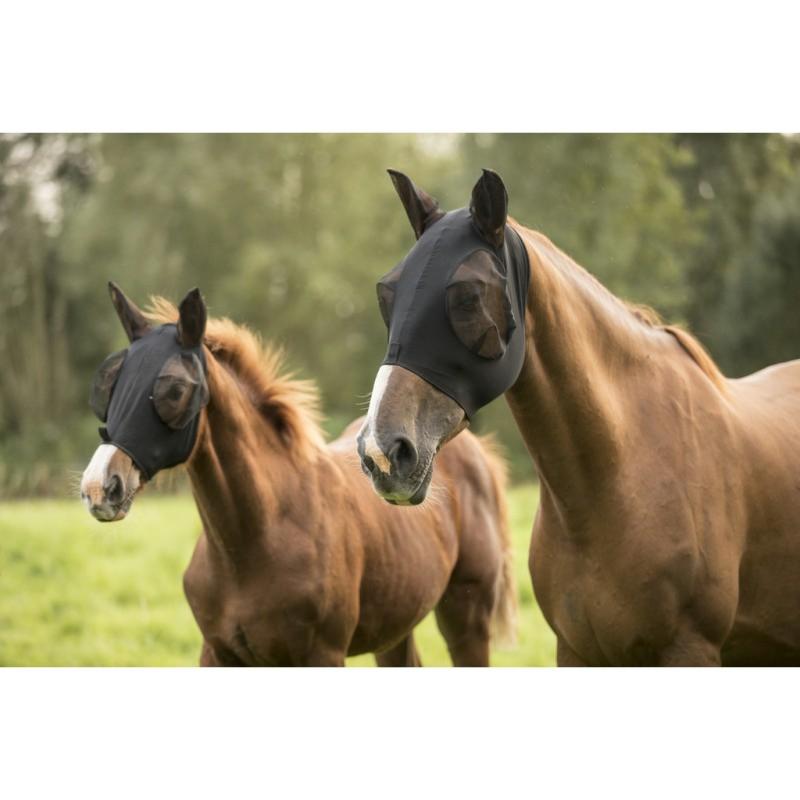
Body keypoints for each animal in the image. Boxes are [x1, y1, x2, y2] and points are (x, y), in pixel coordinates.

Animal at [80, 282, 516, 666]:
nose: (99, 487)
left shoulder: (321, 654)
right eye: (110, 385)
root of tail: (475, 451)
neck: (251, 543)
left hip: (467, 614)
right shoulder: (218, 654)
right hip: (395, 623)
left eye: (174, 390)